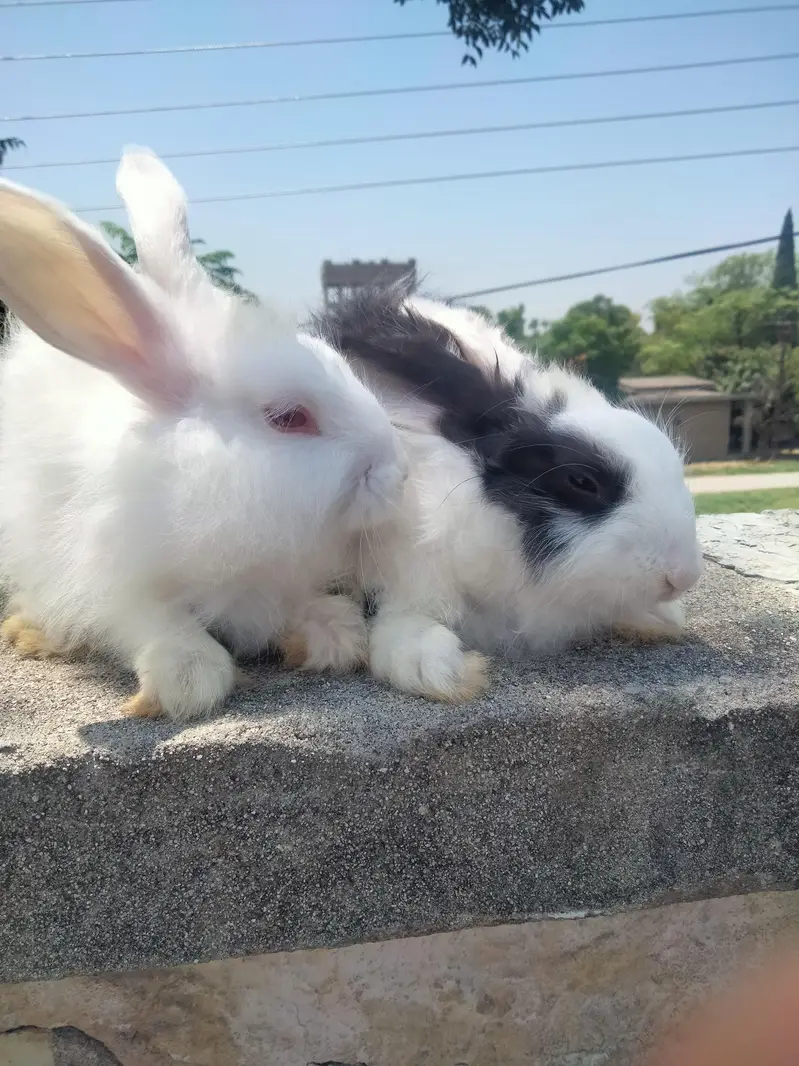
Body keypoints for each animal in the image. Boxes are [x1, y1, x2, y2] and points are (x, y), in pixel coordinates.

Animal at [0, 158, 408, 721]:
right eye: (289, 417)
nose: (399, 474)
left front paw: (334, 631)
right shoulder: (110, 576)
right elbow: (150, 619)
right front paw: (189, 675)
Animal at [311, 284, 704, 702]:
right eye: (582, 482)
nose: (683, 577)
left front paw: (661, 618)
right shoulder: (405, 565)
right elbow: (402, 618)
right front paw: (438, 670)